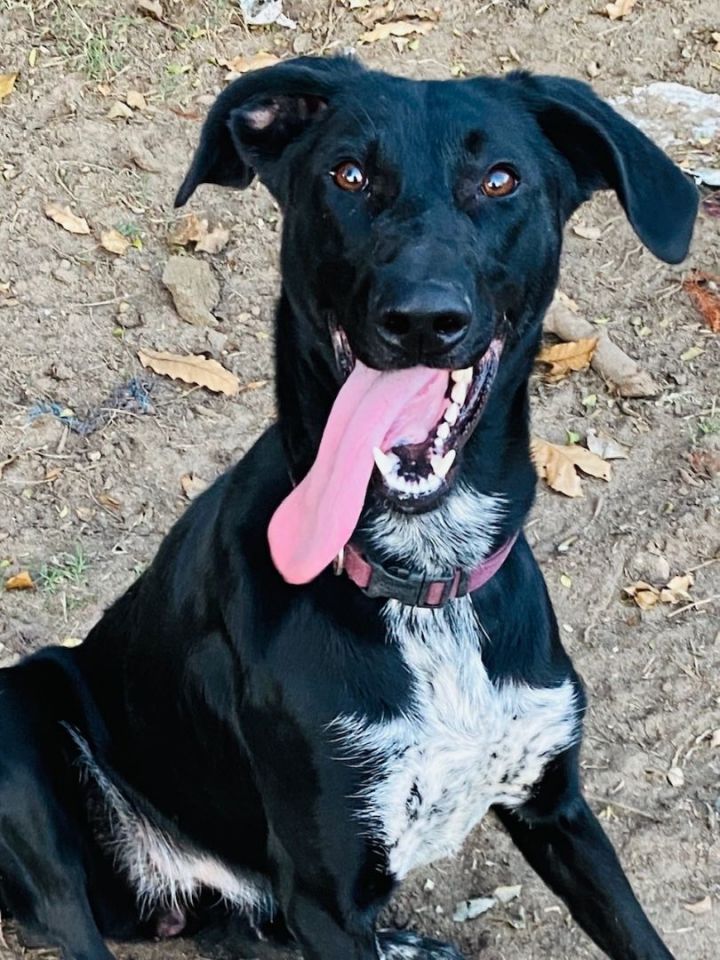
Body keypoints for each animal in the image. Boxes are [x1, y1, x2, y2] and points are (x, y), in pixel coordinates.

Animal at [0, 60, 696, 960]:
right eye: (349, 176)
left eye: (500, 180)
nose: (423, 320)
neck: (423, 577)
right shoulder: (325, 891)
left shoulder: (559, 810)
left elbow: (638, 932)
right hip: (20, 725)